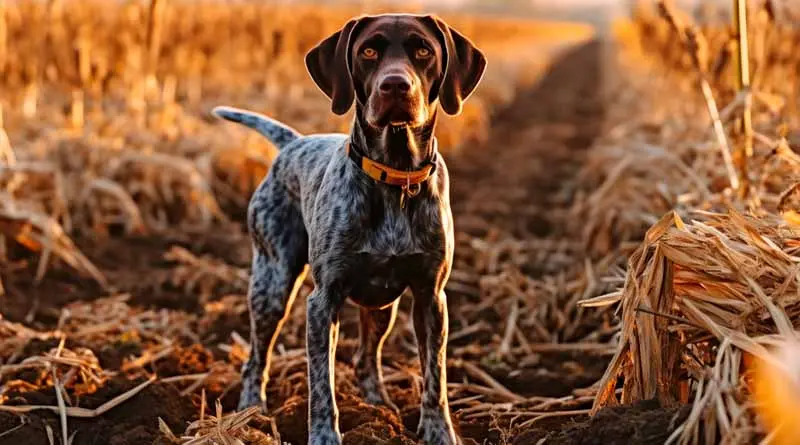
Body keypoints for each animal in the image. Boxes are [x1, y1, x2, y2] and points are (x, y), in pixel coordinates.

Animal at [212, 13, 484, 444]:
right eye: (368, 51)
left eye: (423, 50)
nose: (395, 85)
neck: (396, 177)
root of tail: (293, 143)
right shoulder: (323, 303)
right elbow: (321, 385)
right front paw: (324, 435)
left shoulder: (431, 298)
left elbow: (435, 378)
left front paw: (439, 432)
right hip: (271, 284)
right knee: (256, 356)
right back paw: (250, 412)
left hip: (383, 304)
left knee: (364, 358)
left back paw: (378, 407)